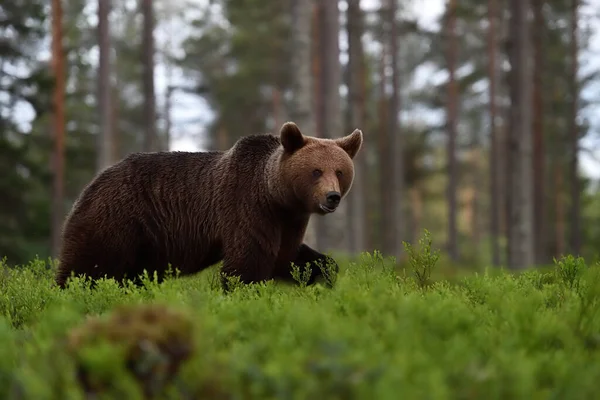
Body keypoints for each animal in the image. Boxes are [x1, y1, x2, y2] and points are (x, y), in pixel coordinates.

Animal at [56, 120, 364, 290]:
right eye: (316, 171)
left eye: (339, 171)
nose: (332, 197)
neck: (277, 197)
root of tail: (93, 183)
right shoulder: (247, 207)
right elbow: (246, 263)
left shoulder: (289, 221)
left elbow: (289, 257)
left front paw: (324, 274)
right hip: (116, 218)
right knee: (88, 265)